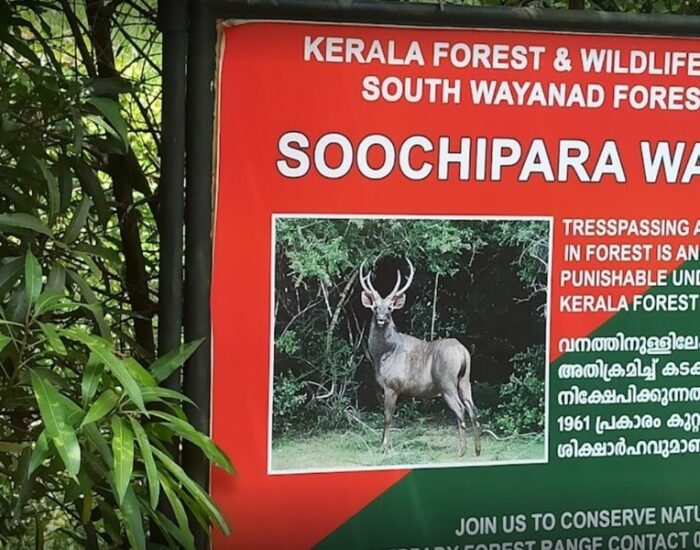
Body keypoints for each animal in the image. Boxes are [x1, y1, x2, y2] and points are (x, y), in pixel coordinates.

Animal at [360, 260, 482, 460]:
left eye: (390, 308)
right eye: (375, 307)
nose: (381, 318)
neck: (382, 355)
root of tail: (463, 352)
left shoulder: (392, 385)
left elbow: (387, 417)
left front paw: (383, 447)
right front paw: (383, 445)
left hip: (446, 381)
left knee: (460, 409)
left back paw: (462, 450)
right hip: (465, 380)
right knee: (473, 408)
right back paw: (477, 449)